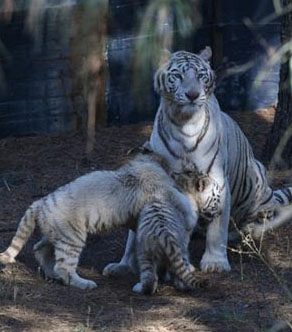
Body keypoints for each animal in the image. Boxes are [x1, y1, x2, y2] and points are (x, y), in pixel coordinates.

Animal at [0, 154, 197, 290]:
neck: (146, 162)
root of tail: (40, 202)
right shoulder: (159, 187)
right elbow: (178, 197)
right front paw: (191, 216)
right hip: (72, 237)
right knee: (64, 267)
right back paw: (85, 283)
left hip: (54, 233)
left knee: (39, 249)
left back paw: (52, 275)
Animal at [103, 46, 292, 274]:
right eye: (178, 75)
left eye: (201, 76)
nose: (192, 95)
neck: (183, 124)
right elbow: (135, 233)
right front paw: (124, 264)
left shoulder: (218, 180)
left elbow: (217, 227)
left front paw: (215, 262)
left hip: (255, 180)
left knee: (262, 217)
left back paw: (245, 232)